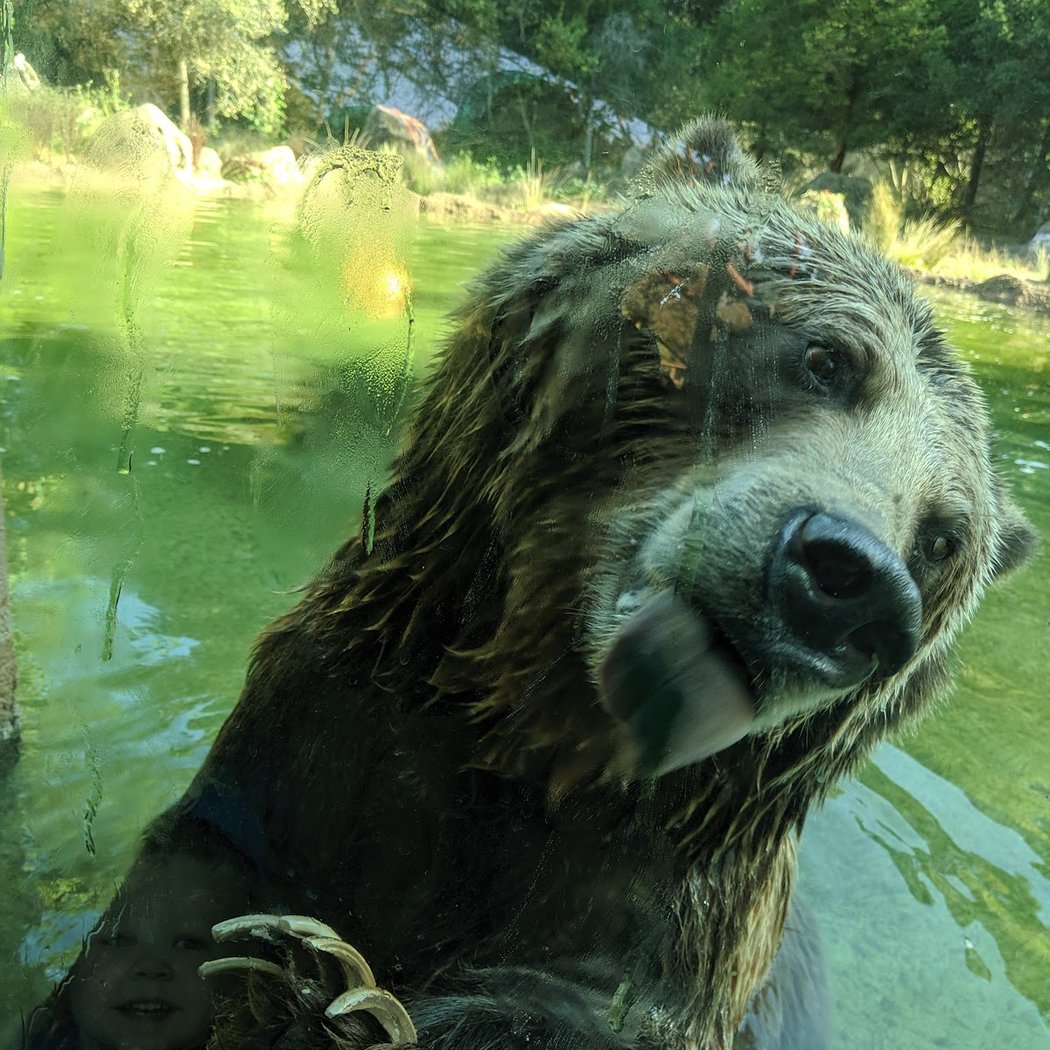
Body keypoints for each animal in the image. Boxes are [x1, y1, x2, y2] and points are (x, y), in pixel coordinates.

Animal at [33, 120, 1036, 1050]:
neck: (528, 732)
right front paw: (257, 969)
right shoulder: (327, 730)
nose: (854, 584)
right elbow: (194, 881)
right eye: (829, 358)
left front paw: (331, 995)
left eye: (944, 537)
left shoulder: (678, 911)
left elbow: (572, 1010)